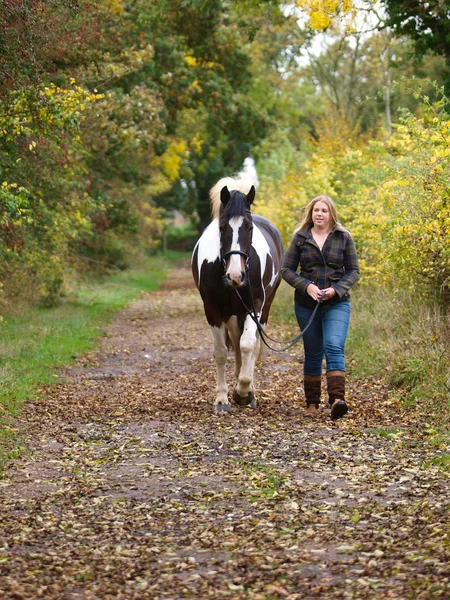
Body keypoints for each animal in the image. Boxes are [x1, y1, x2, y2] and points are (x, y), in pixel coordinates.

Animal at [192, 176, 284, 414]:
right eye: (222, 227)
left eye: (249, 228)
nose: (236, 275)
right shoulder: (213, 310)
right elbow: (221, 352)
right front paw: (222, 399)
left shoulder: (255, 306)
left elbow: (249, 344)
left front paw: (244, 391)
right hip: (233, 314)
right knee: (235, 339)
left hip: (263, 308)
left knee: (252, 343)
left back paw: (248, 388)